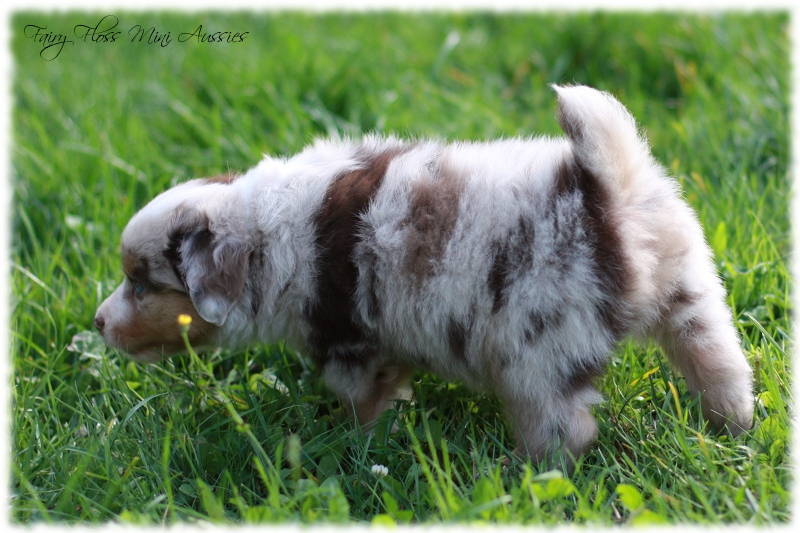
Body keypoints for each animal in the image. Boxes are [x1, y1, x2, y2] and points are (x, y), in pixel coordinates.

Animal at [97, 84, 752, 466]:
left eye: (141, 283)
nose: (100, 322)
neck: (261, 236)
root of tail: (606, 194)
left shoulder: (352, 345)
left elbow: (362, 404)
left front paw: (353, 444)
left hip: (533, 350)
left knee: (563, 428)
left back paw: (523, 474)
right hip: (691, 297)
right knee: (720, 366)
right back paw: (731, 429)